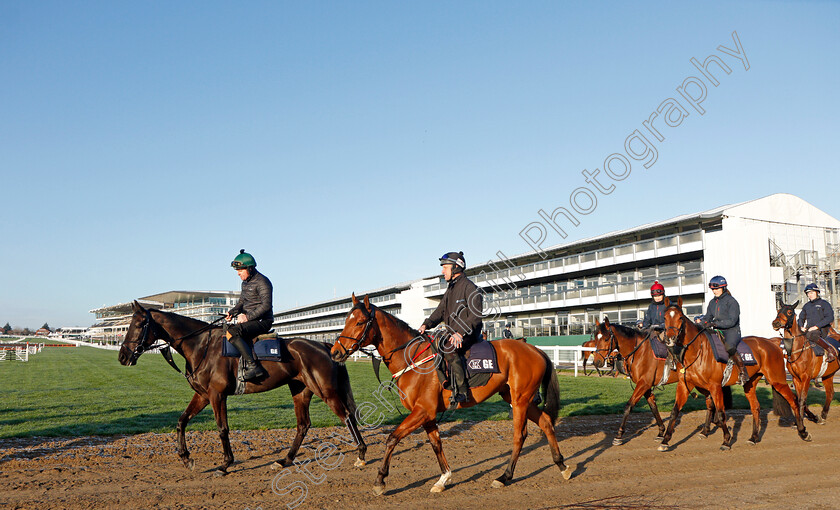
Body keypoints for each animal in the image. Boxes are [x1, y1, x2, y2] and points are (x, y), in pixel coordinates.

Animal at [116, 302, 366, 474]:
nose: (122, 357)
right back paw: (285, 460)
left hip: (326, 391)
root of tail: (325, 345)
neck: (202, 347)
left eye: (140, 324)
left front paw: (225, 464)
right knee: (303, 425)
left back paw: (362, 453)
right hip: (300, 391)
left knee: (346, 416)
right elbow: (181, 421)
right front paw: (186, 457)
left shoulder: (217, 395)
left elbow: (222, 429)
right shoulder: (202, 395)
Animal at [328, 294, 572, 494]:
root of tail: (535, 349)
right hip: (518, 398)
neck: (413, 359)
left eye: (359, 322)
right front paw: (443, 478)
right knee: (546, 423)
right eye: (346, 320)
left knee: (519, 436)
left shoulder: (422, 411)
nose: (335, 352)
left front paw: (380, 480)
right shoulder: (427, 414)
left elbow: (392, 438)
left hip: (520, 400)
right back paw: (562, 465)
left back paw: (504, 476)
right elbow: (436, 444)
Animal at [660, 298, 812, 450]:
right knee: (756, 407)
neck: (698, 350)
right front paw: (665, 440)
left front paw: (726, 440)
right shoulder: (685, 385)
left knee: (794, 401)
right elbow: (675, 411)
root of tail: (771, 342)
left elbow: (721, 413)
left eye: (680, 317)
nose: (670, 338)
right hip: (750, 383)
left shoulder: (715, 387)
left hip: (777, 380)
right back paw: (754, 437)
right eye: (665, 317)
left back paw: (803, 431)